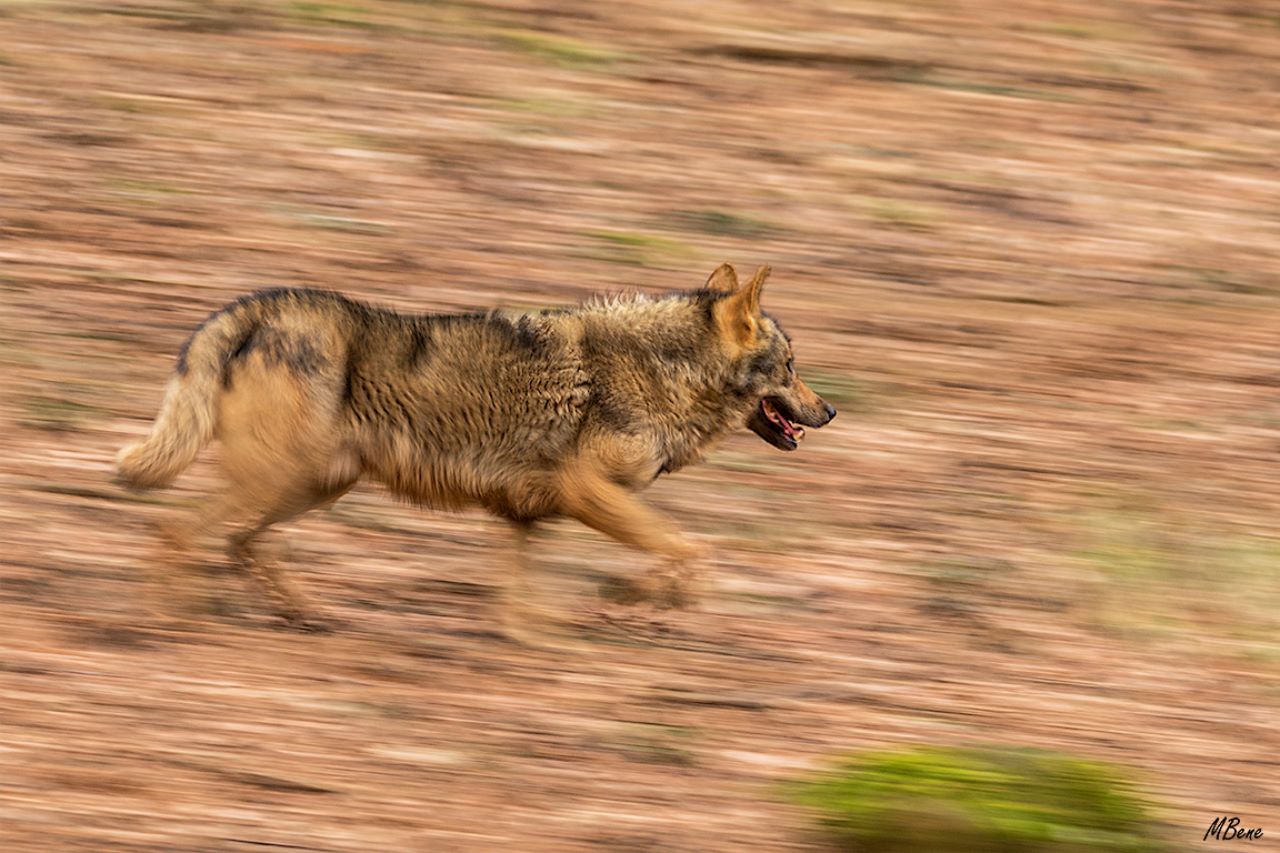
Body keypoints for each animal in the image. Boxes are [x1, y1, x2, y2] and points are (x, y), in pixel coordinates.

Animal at [115, 263, 836, 637]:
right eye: (792, 366)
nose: (830, 411)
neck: (663, 371)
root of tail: (259, 305)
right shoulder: (587, 492)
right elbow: (690, 552)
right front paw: (634, 602)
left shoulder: (526, 517)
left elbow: (522, 604)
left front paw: (538, 635)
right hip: (282, 481)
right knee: (177, 533)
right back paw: (161, 623)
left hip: (312, 486)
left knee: (238, 543)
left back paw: (305, 613)